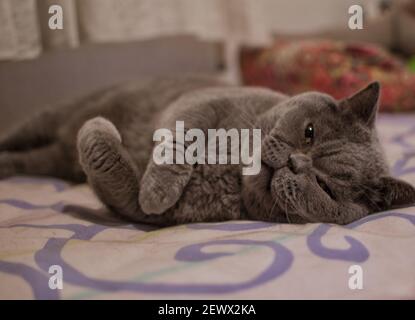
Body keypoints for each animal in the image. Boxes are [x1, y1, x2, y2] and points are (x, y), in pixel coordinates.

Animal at [0, 77, 415, 225]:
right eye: (309, 133)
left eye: (325, 188)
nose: (295, 162)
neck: (230, 172)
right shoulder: (201, 101)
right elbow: (179, 139)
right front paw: (158, 188)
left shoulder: (142, 212)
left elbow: (123, 183)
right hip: (48, 117)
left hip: (52, 157)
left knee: (31, 158)